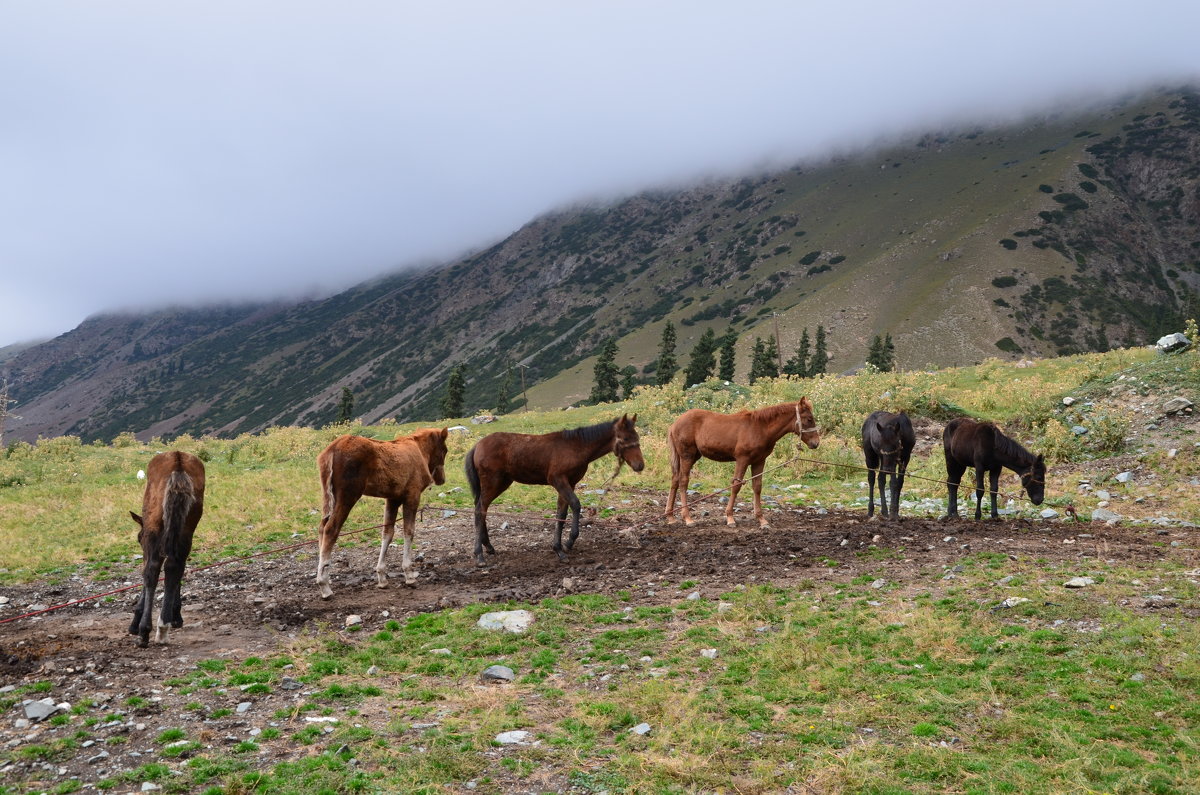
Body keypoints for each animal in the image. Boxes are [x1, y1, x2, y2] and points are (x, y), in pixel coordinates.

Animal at [129, 451, 204, 653]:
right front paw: (175, 616)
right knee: (175, 566)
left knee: (152, 570)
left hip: (155, 523)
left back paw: (145, 631)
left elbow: (148, 571)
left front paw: (136, 621)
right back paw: (163, 627)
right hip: (186, 526)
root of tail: (178, 463)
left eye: (138, 538)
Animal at [316, 427, 448, 600]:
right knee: (331, 529)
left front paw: (382, 577)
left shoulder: (392, 498)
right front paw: (409, 575)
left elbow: (387, 533)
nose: (441, 479)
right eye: (445, 450)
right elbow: (409, 531)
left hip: (328, 497)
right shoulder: (412, 495)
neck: (421, 451)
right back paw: (324, 586)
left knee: (321, 527)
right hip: (348, 495)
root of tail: (331, 450)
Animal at [463, 417, 643, 566]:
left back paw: (489, 547)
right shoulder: (558, 480)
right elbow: (575, 505)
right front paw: (569, 542)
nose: (640, 465)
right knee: (480, 509)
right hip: (493, 482)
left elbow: (561, 513)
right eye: (625, 439)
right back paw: (479, 555)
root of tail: (477, 446)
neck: (576, 446)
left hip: (501, 483)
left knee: (482, 509)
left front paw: (558, 549)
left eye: (637, 438)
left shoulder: (569, 483)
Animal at [662, 398, 820, 528]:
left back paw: (670, 516)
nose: (816, 443)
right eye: (809, 419)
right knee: (683, 481)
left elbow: (757, 487)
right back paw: (688, 518)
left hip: (690, 456)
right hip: (687, 456)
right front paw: (730, 518)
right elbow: (736, 486)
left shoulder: (759, 461)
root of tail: (674, 424)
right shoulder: (742, 459)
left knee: (675, 480)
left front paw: (761, 519)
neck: (760, 428)